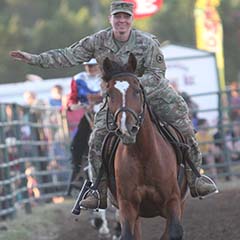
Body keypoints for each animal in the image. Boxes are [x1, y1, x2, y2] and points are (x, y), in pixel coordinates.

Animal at [102, 53, 188, 239]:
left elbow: (173, 232)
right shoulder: (127, 205)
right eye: (109, 94)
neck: (144, 155)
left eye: (137, 91)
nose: (127, 129)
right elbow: (127, 234)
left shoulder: (173, 201)